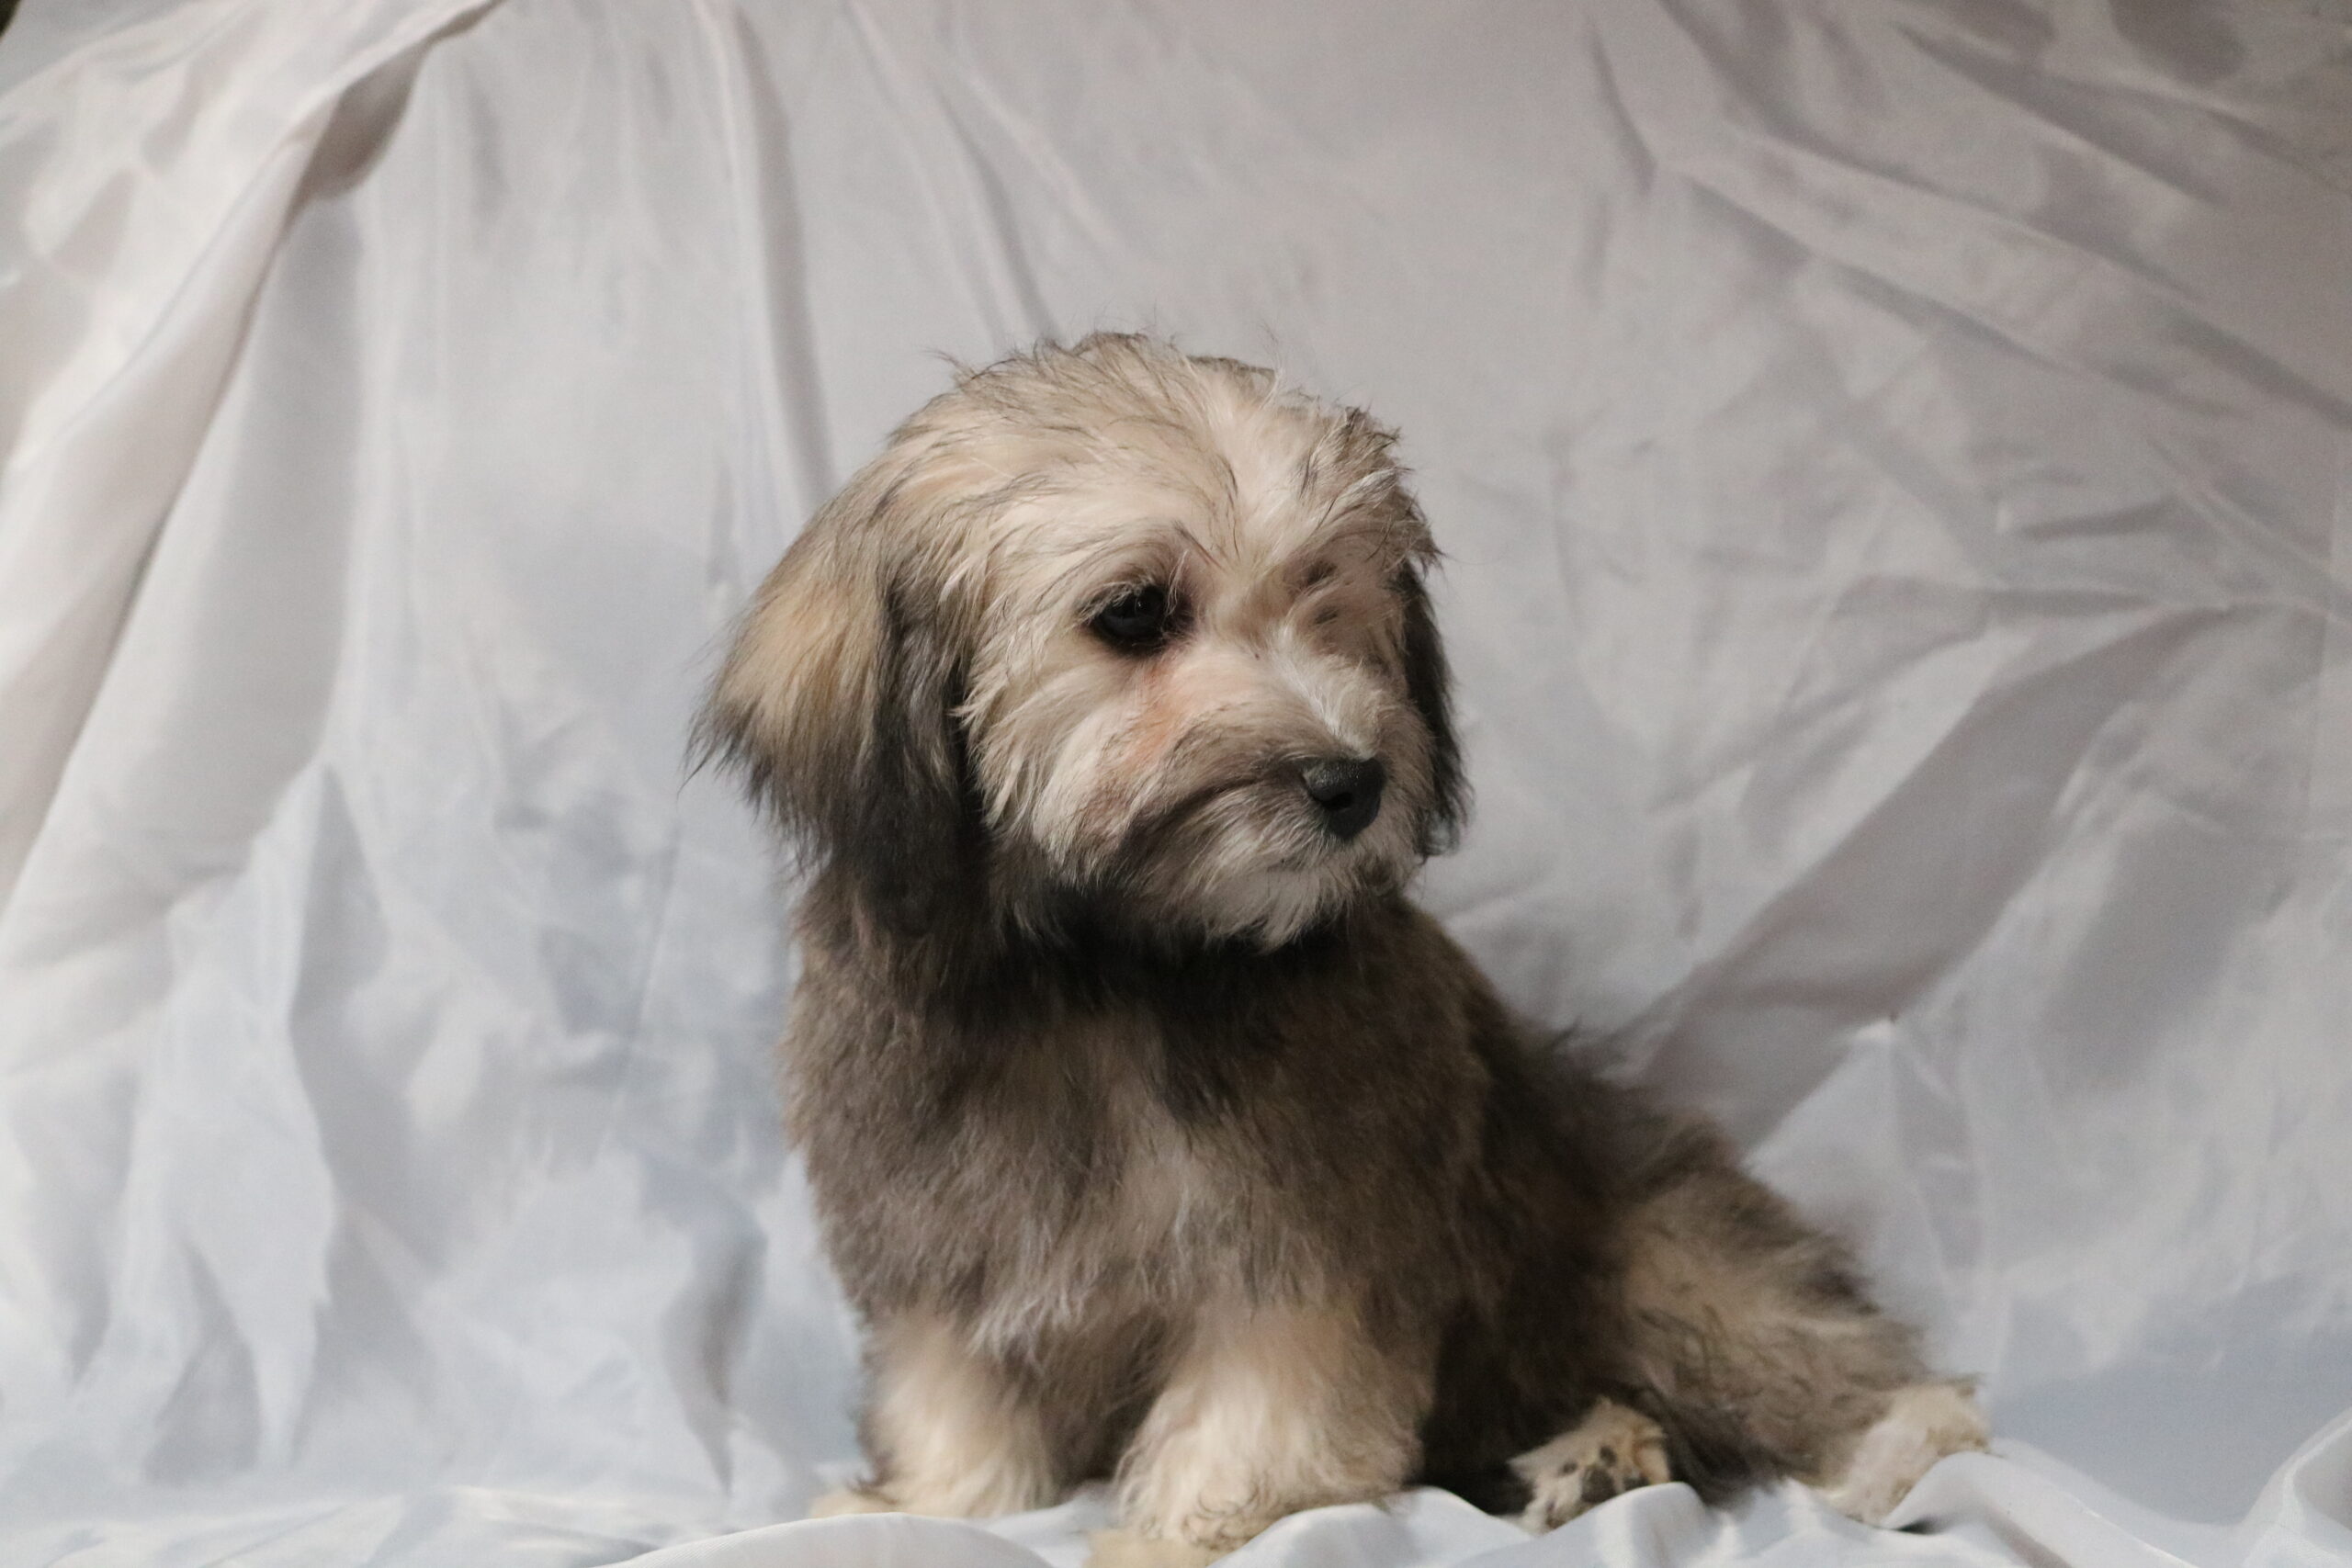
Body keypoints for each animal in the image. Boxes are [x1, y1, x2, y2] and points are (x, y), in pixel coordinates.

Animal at [700, 331, 1984, 1561]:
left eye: (1325, 598)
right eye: (1133, 612)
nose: (1351, 782)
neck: (1107, 969)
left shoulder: (1300, 1262)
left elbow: (1251, 1418)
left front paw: (1171, 1538)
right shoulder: (944, 1259)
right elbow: (954, 1407)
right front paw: (931, 1504)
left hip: (1658, 1255)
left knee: (1806, 1361)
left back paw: (1887, 1448)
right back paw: (1600, 1464)